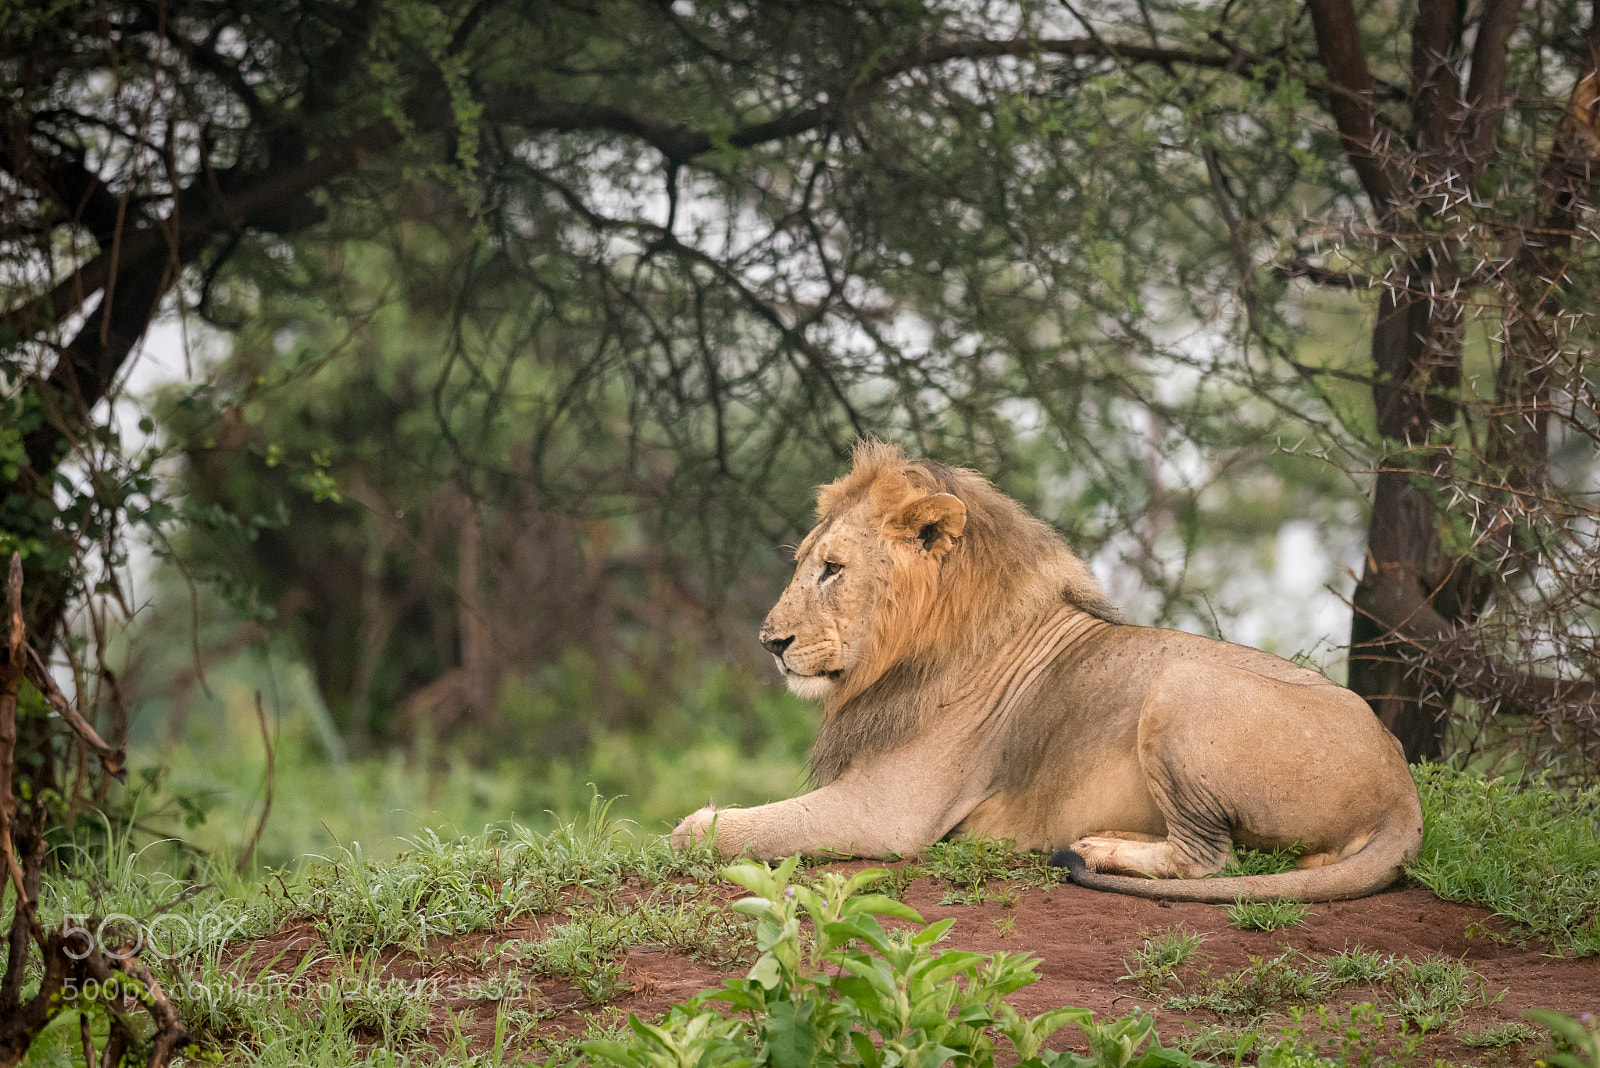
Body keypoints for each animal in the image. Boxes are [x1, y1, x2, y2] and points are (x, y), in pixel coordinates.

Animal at [672, 442, 1424, 902]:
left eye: (832, 568)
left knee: (1209, 857)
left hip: (1181, 681)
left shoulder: (888, 812)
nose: (770, 643)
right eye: (806, 562)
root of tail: (1402, 791)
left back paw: (1100, 849)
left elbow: (716, 828)